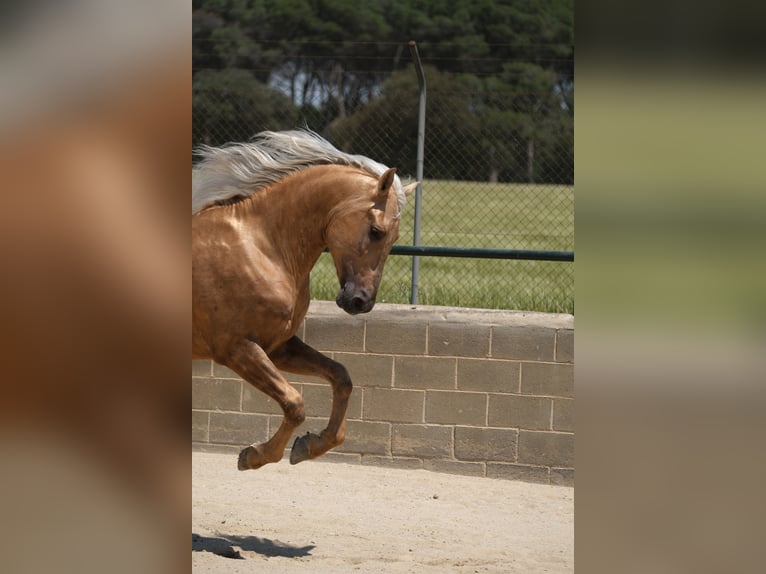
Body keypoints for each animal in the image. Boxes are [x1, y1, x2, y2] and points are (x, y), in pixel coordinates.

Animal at [195, 132, 416, 472]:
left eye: (395, 239)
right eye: (376, 231)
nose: (360, 301)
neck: (262, 246)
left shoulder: (278, 347)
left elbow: (341, 377)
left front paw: (309, 445)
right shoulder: (236, 348)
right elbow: (295, 403)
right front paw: (255, 455)